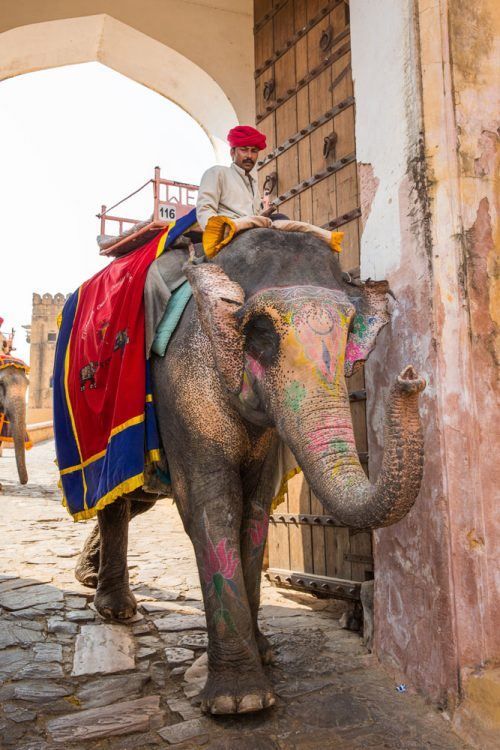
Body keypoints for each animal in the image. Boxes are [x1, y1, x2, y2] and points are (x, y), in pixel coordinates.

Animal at [76, 226, 425, 715]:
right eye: (261, 333)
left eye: (348, 332)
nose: (410, 378)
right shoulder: (184, 382)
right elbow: (212, 505)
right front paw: (239, 703)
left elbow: (256, 506)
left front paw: (264, 654)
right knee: (117, 496)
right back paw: (115, 609)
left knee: (135, 499)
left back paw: (89, 580)